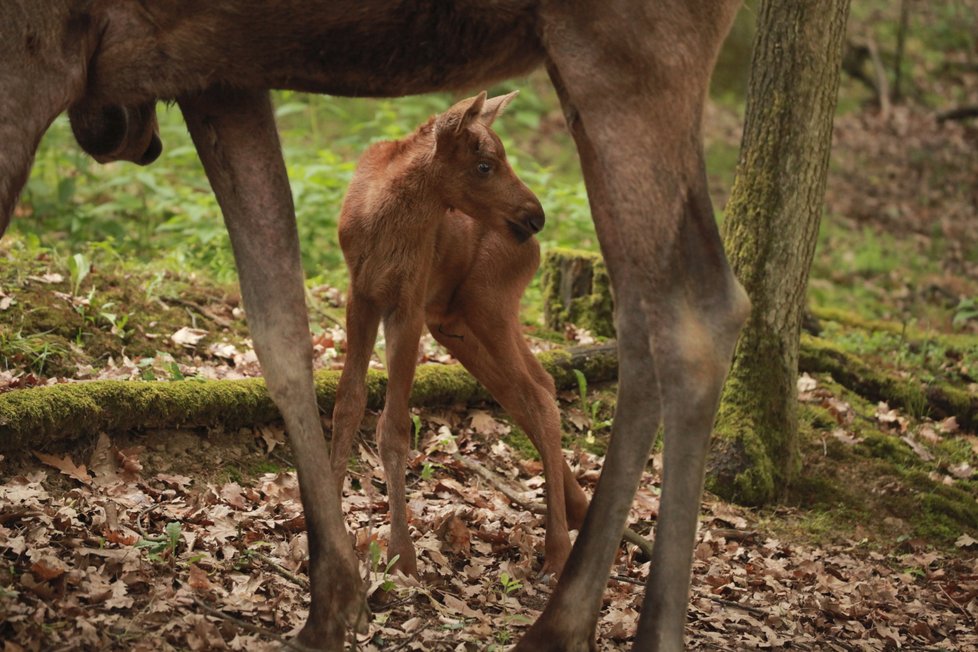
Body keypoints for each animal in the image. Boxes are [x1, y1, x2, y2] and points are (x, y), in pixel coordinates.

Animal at [328, 90, 588, 576]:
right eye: (485, 164)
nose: (536, 216)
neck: (384, 222)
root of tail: (538, 250)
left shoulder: (407, 306)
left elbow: (393, 427)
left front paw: (402, 555)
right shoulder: (361, 298)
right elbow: (347, 405)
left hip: (489, 306)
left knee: (539, 395)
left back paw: (557, 549)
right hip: (456, 323)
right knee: (529, 390)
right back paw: (578, 513)